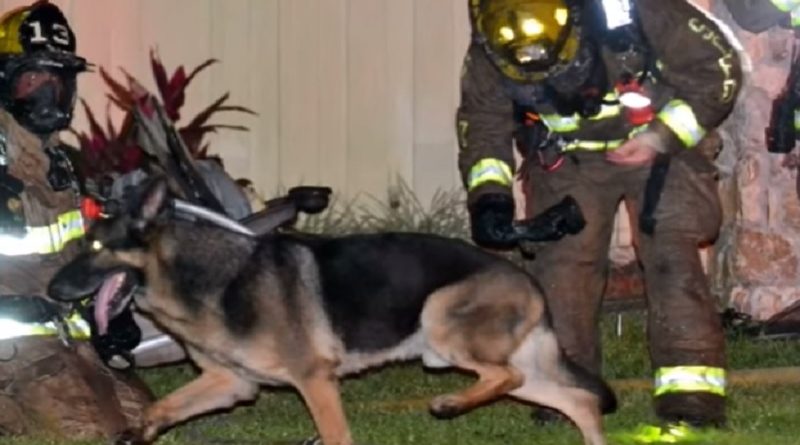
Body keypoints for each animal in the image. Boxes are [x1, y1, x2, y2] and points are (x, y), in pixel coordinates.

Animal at [47, 178, 616, 444]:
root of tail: (528, 278)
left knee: (506, 376)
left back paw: (450, 403)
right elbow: (160, 408)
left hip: (440, 323)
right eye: (81, 244)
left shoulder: (314, 379)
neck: (206, 278)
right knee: (575, 400)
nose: (51, 290)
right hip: (499, 360)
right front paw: (137, 431)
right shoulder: (233, 384)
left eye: (95, 248)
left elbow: (336, 435)